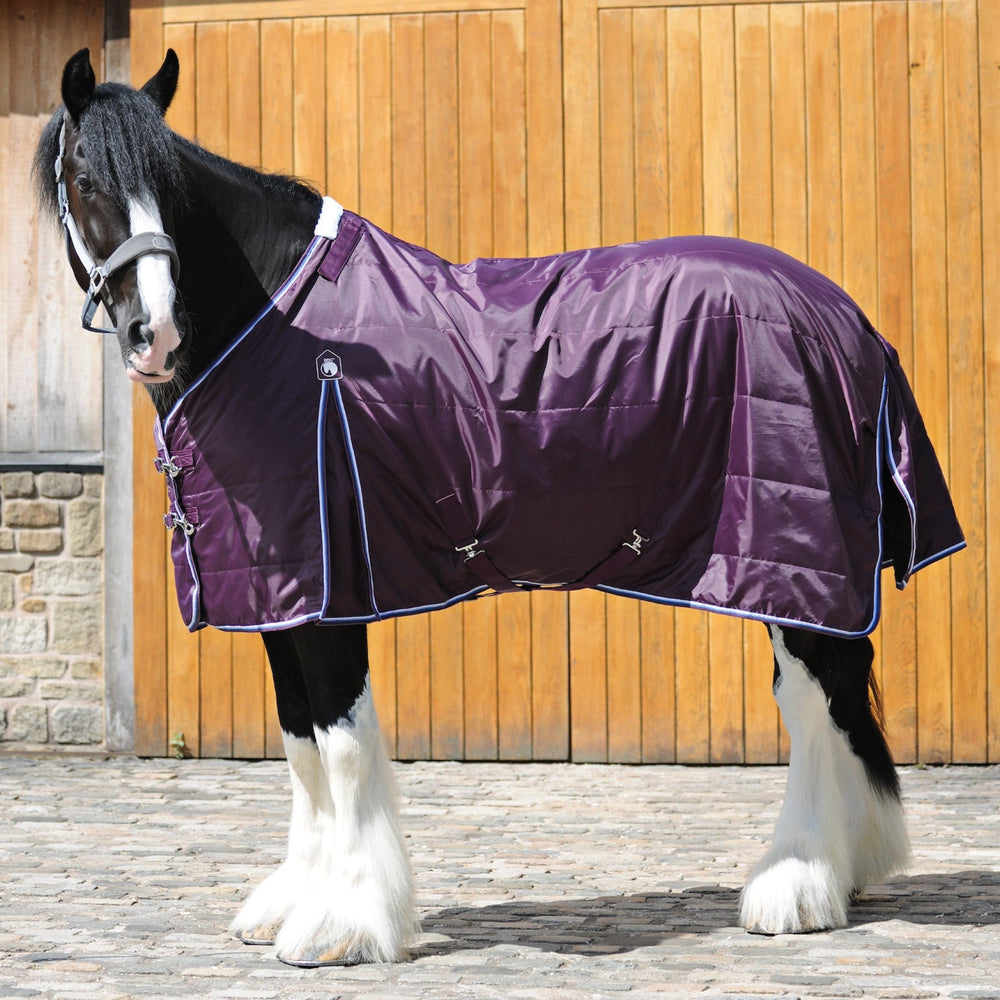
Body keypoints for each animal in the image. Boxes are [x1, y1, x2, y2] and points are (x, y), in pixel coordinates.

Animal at [35, 48, 964, 967]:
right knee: (837, 701)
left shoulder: (331, 595)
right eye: (85, 179)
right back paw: (851, 869)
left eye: (169, 187)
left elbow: (340, 746)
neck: (275, 325)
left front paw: (345, 923)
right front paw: (293, 903)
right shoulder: (276, 595)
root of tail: (849, 321)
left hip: (789, 568)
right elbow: (299, 746)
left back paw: (795, 886)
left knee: (811, 706)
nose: (155, 333)